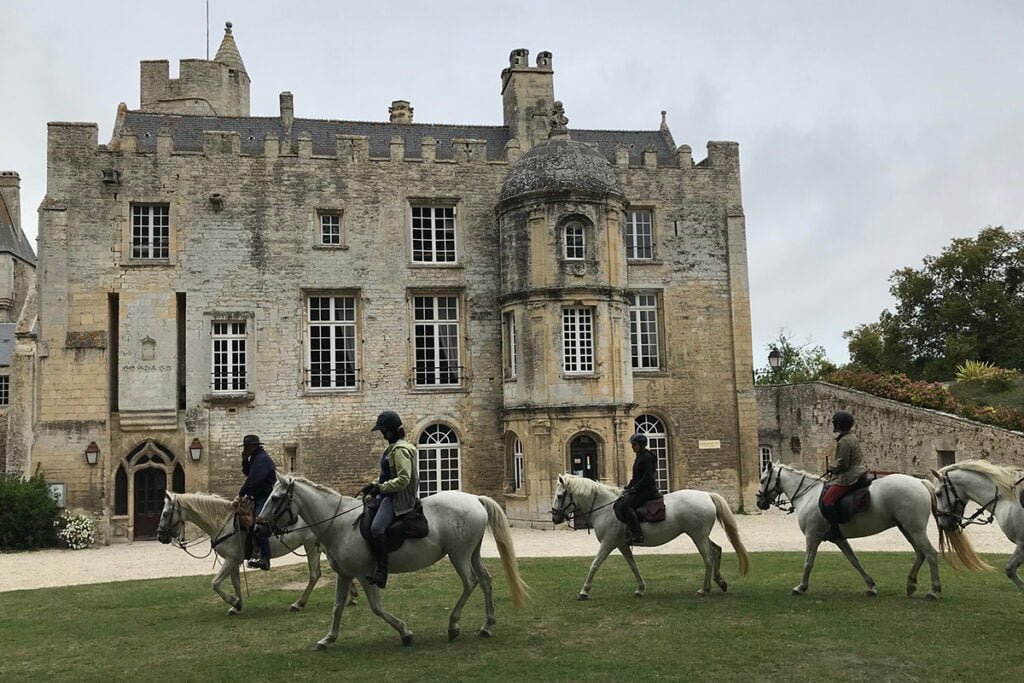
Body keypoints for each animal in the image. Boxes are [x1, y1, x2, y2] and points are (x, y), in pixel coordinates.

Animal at [156, 491, 323, 614]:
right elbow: (235, 582)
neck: (223, 523)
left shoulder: (231, 559)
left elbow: (215, 583)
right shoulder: (234, 560)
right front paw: (237, 606)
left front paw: (233, 601)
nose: (160, 536)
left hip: (311, 546)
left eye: (165, 513)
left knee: (314, 574)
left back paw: (298, 604)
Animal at [258, 473, 528, 651]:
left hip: (459, 555)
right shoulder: (344, 574)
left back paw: (453, 625)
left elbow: (377, 608)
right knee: (485, 581)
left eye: (275, 498)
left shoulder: (365, 575)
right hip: (471, 553)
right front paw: (328, 639)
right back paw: (487, 626)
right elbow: (337, 607)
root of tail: (475, 499)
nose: (259, 527)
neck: (339, 524)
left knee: (471, 582)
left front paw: (405, 633)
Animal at [548, 475, 749, 598]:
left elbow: (594, 565)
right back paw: (720, 582)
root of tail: (707, 495)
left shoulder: (608, 543)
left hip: (697, 536)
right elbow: (633, 566)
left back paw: (704, 589)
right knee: (716, 551)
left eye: (560, 495)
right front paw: (640, 589)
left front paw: (584, 591)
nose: (554, 517)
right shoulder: (622, 544)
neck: (605, 507)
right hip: (701, 535)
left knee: (708, 558)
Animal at [761, 458, 983, 598]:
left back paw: (933, 590)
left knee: (929, 553)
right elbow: (855, 561)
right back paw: (911, 583)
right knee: (920, 553)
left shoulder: (812, 536)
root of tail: (919, 482)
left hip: (915, 529)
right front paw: (871, 586)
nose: (759, 502)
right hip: (906, 528)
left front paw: (801, 587)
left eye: (763, 479)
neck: (808, 495)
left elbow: (808, 562)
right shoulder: (838, 538)